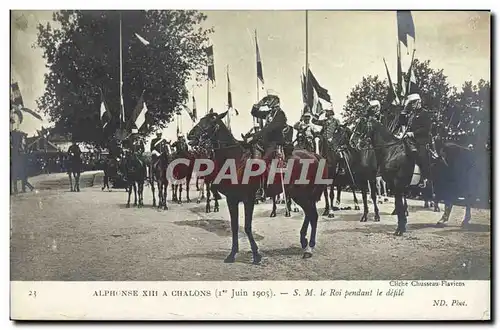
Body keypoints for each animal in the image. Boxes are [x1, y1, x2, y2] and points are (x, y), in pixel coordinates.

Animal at [188, 110, 328, 262]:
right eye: (201, 119)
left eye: (211, 122)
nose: (190, 135)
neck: (235, 160)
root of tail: (315, 155)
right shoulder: (232, 200)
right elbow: (234, 227)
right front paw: (232, 254)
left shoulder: (248, 199)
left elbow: (247, 226)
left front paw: (255, 254)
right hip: (300, 195)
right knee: (310, 215)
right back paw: (304, 241)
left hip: (303, 195)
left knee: (313, 216)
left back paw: (309, 248)